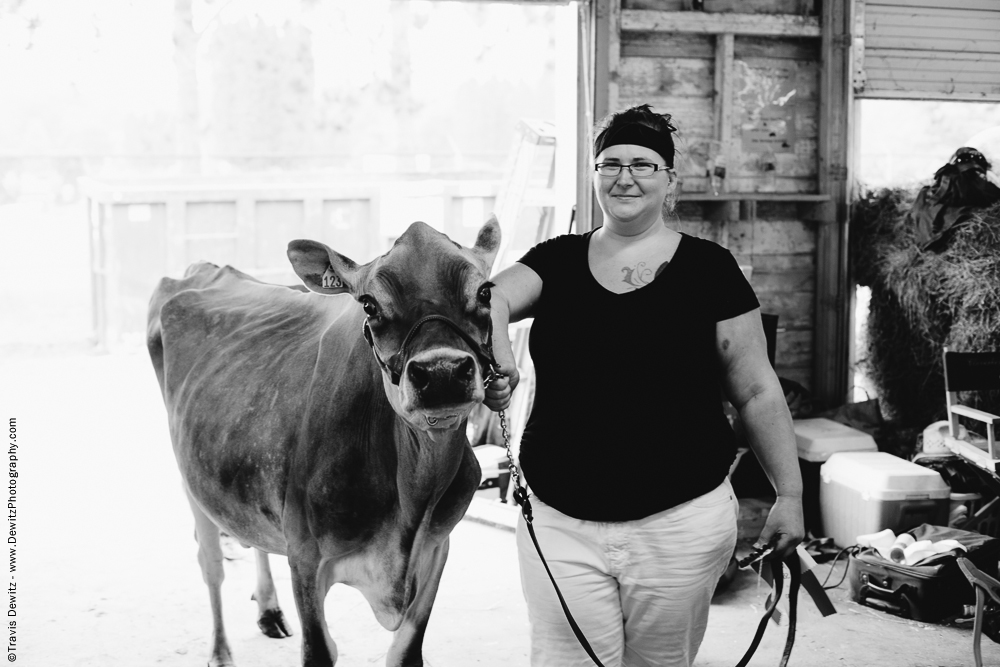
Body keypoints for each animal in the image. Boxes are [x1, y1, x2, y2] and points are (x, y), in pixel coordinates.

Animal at [146, 220, 504, 667]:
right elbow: (318, 649)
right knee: (210, 561)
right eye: (369, 305)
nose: (441, 372)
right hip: (191, 476)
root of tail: (208, 268)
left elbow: (405, 653)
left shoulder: (438, 546)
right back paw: (220, 650)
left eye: (485, 291)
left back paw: (268, 610)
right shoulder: (306, 557)